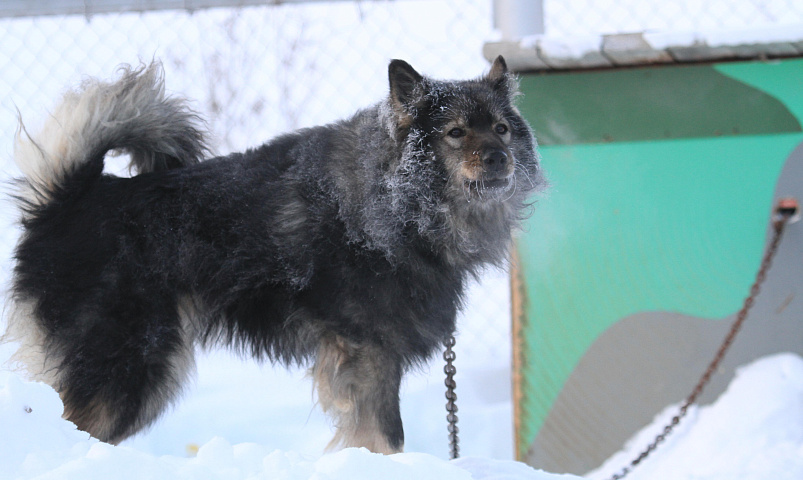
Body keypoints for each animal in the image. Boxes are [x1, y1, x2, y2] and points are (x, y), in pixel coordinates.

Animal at [3, 58, 544, 452]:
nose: (500, 157)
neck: (395, 204)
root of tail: (64, 202)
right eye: (455, 132)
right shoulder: (368, 353)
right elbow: (386, 435)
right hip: (130, 366)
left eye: (501, 128)